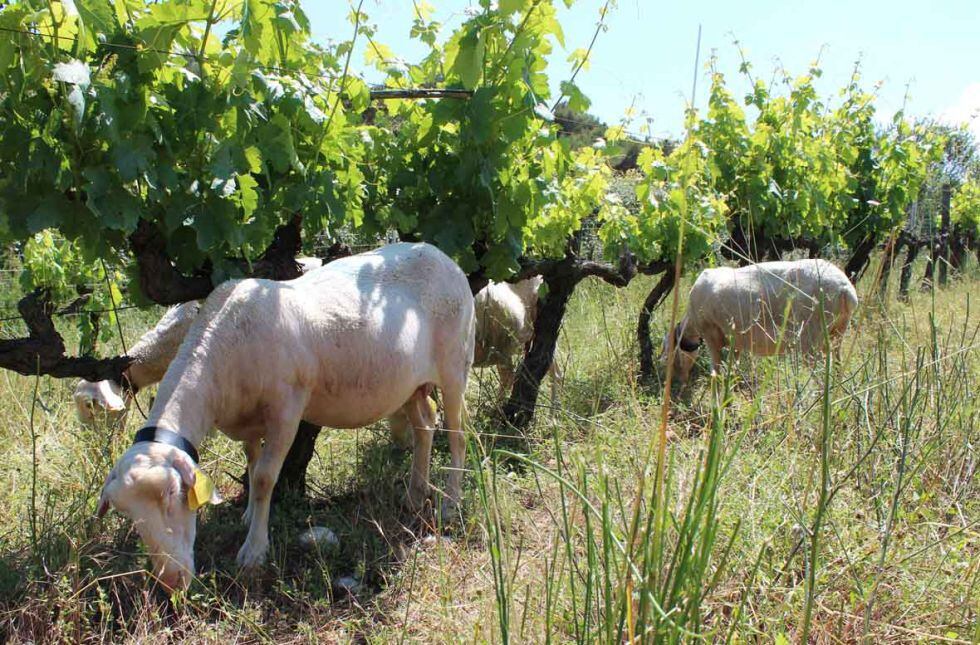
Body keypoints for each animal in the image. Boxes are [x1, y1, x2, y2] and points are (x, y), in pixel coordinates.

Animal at [94, 244, 474, 592]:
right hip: (409, 383)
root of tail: (441, 255)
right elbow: (251, 462)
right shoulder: (245, 419)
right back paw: (415, 494)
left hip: (455, 364)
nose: (171, 581)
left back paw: (450, 503)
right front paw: (249, 515)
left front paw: (253, 552)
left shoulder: (286, 409)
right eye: (128, 515)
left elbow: (264, 478)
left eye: (173, 494)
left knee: (457, 434)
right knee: (425, 423)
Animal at [668, 256, 856, 380]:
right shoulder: (735, 339)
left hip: (810, 335)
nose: (679, 382)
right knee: (836, 365)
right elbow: (733, 365)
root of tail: (846, 289)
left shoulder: (711, 334)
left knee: (818, 375)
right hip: (837, 332)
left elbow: (717, 367)